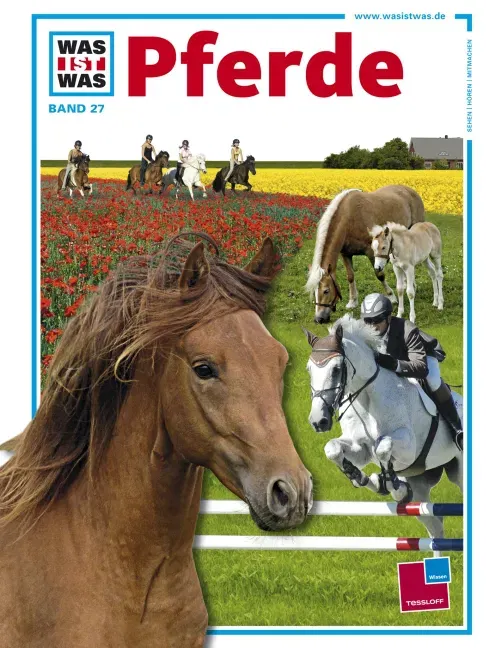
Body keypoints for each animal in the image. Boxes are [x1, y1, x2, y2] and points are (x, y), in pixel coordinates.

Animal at [304, 315, 462, 547]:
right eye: (309, 369)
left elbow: (383, 446)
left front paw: (392, 485)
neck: (366, 397)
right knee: (435, 526)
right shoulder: (359, 447)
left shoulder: (408, 447)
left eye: (336, 369)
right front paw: (360, 477)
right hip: (421, 483)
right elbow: (333, 449)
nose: (318, 421)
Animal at [305, 185, 425, 324]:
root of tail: (410, 191)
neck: (349, 218)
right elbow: (350, 276)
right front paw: (352, 301)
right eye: (314, 292)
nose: (319, 319)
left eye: (326, 291)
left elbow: (380, 275)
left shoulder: (372, 252)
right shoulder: (345, 254)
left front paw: (391, 297)